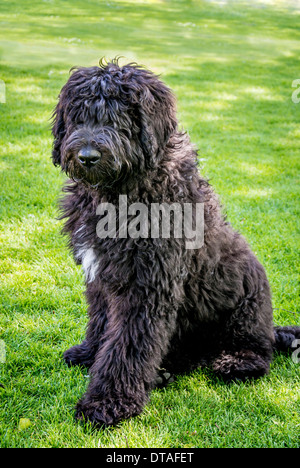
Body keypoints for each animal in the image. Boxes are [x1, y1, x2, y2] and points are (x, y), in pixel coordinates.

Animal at [52, 59, 300, 428]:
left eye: (116, 117)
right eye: (79, 115)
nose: (86, 156)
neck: (122, 192)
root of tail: (271, 330)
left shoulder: (147, 286)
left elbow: (127, 345)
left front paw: (107, 403)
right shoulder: (100, 277)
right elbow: (101, 322)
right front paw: (89, 353)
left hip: (247, 301)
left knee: (257, 351)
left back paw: (234, 362)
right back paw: (165, 371)